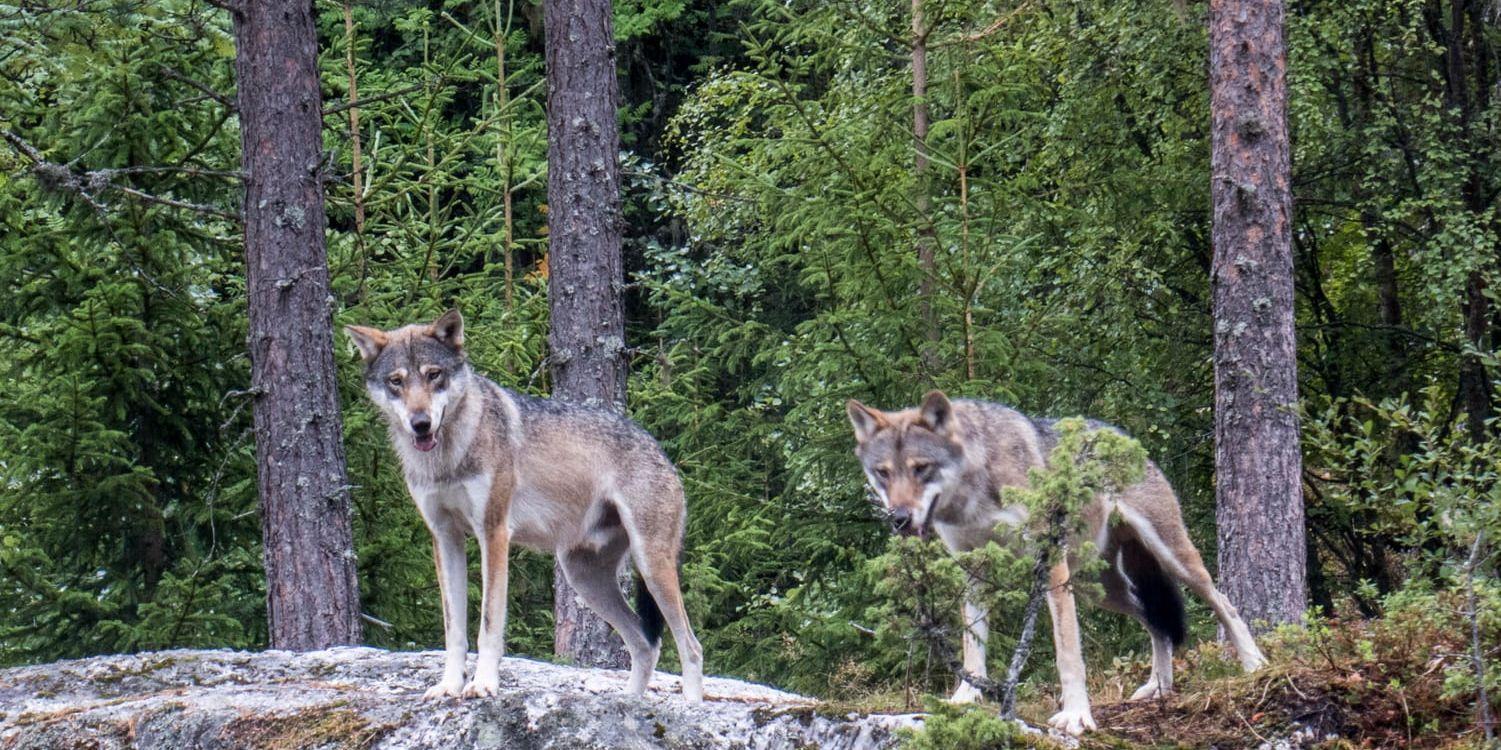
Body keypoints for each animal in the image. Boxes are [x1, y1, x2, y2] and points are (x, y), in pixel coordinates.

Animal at [348, 310, 705, 702]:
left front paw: (483, 684)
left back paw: (689, 706)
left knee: (690, 646)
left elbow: (488, 623)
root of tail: (663, 453)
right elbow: (453, 629)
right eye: (396, 381)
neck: (448, 457)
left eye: (433, 375)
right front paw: (448, 686)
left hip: (650, 567)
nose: (421, 423)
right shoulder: (444, 538)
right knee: (645, 645)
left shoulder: (494, 533)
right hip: (584, 577)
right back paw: (631, 703)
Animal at [846, 393, 1266, 732]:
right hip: (1099, 590)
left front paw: (1077, 715)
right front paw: (965, 698)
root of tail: (1124, 436)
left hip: (1170, 558)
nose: (899, 518)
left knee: (1222, 603)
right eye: (883, 473)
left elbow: (1068, 652)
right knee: (1156, 624)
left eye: (921, 468)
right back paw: (1159, 687)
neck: (974, 492)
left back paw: (1254, 664)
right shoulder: (973, 571)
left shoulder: (1049, 565)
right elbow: (971, 645)